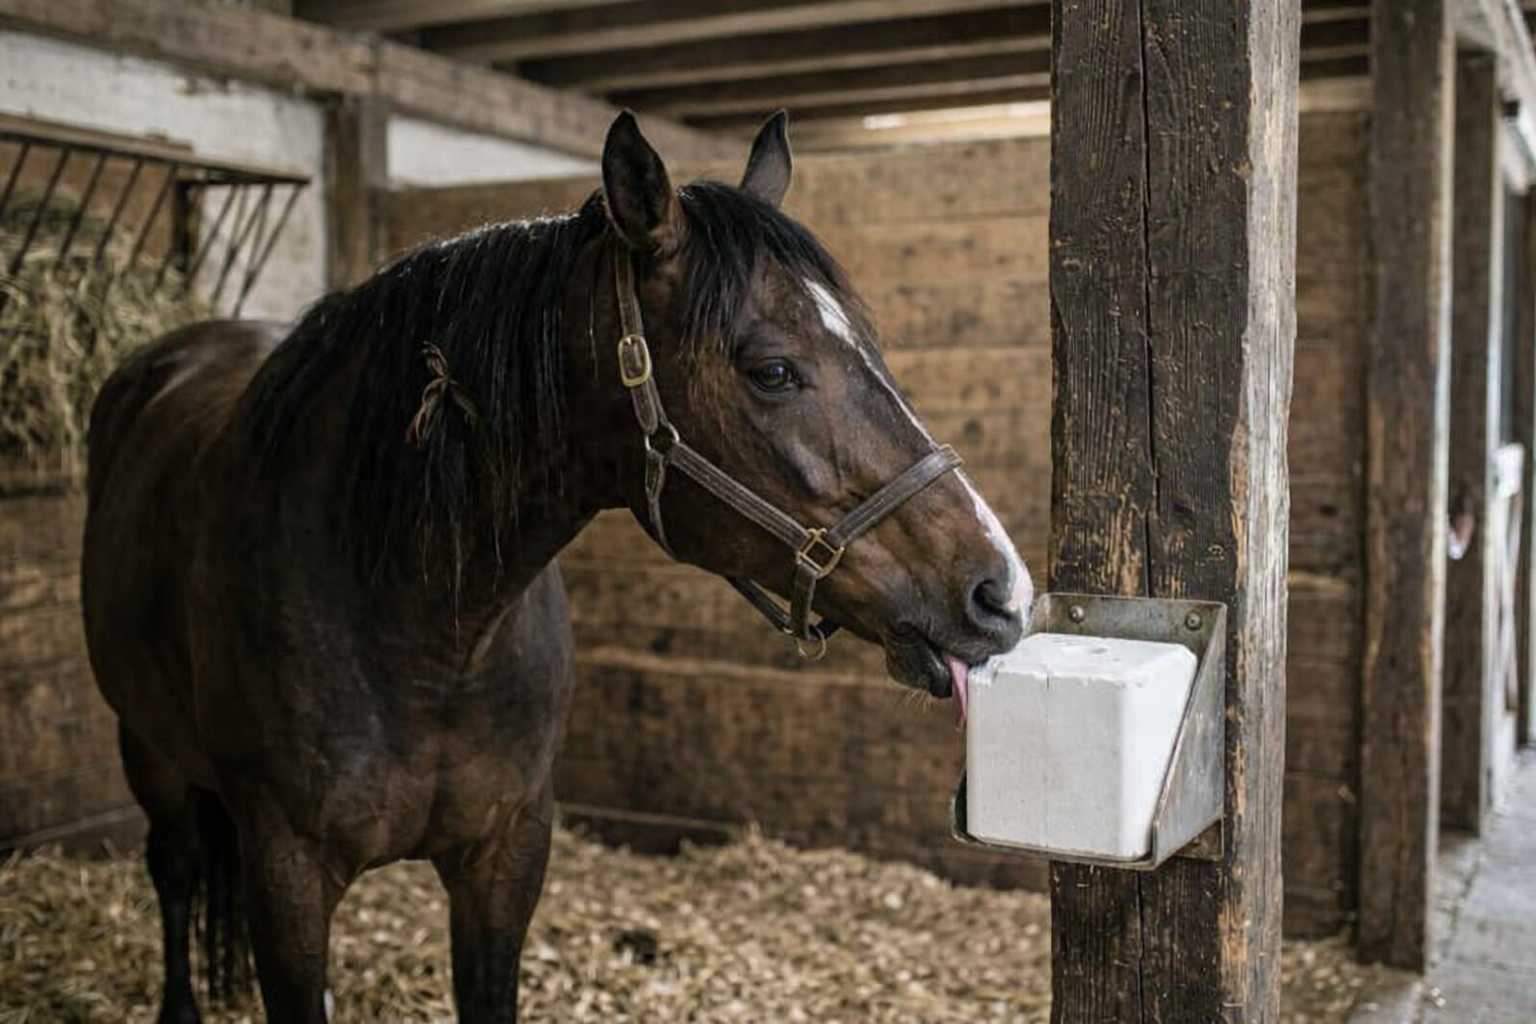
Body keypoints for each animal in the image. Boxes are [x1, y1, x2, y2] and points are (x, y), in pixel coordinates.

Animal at [80, 110, 1032, 1022]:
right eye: (772, 369)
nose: (1001, 591)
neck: (423, 632)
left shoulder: (507, 856)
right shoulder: (287, 877)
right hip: (146, 749)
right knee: (173, 870)